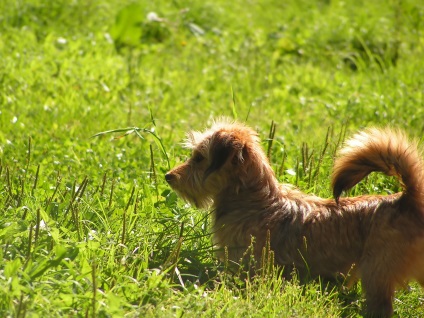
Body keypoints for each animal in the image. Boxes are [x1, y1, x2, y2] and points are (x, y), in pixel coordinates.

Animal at [165, 118, 424, 316]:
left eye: (199, 158)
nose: (169, 176)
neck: (254, 201)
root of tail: (408, 199)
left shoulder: (248, 272)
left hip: (376, 275)